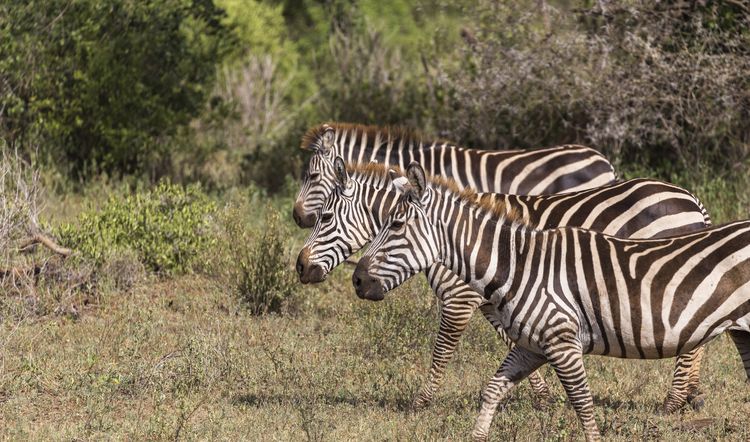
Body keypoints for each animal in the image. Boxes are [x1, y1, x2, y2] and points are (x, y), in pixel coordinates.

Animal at [353, 162, 750, 442]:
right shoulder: (533, 346)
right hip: (744, 332)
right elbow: (492, 390)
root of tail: (692, 201)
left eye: (396, 225)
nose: (357, 280)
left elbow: (583, 407)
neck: (518, 265)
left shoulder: (562, 342)